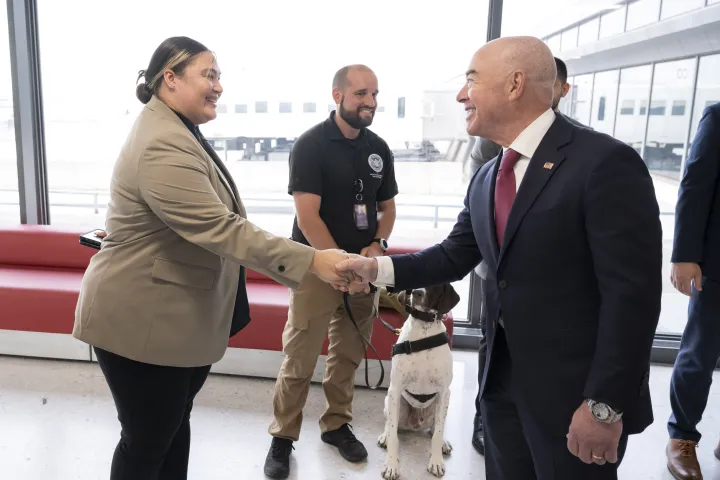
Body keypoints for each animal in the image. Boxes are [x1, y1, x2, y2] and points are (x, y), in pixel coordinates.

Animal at [376, 284, 462, 478]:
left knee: (436, 427)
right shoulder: (395, 389)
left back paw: (443, 442)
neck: (424, 333)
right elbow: (393, 435)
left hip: (441, 403)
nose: (416, 293)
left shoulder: (444, 391)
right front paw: (391, 465)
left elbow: (438, 432)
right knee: (389, 423)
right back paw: (384, 436)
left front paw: (436, 461)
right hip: (391, 401)